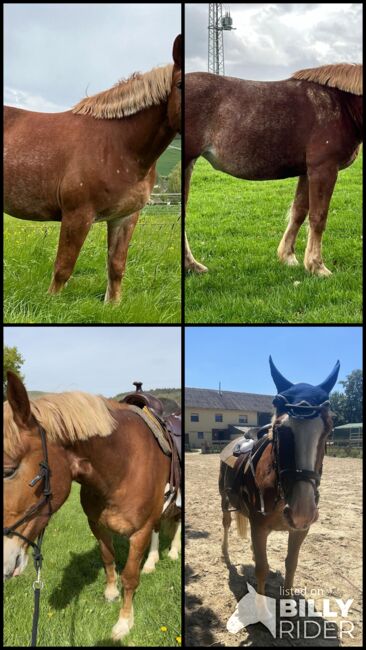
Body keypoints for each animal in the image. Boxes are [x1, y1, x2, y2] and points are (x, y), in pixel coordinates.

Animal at [3, 372, 177, 640]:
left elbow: (130, 576)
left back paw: (173, 552)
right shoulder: (96, 524)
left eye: (9, 471)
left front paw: (124, 622)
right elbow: (107, 558)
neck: (123, 466)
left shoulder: (140, 532)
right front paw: (111, 593)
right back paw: (151, 562)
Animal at [5, 37, 182, 304]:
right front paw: (51, 303)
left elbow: (116, 266)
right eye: (181, 85)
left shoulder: (126, 217)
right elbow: (63, 268)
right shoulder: (77, 215)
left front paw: (113, 304)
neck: (119, 144)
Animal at [186, 64, 364, 278]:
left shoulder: (307, 172)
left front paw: (288, 256)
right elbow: (318, 217)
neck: (342, 105)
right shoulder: (324, 169)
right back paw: (192, 265)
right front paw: (317, 266)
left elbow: (299, 212)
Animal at [219, 356, 338, 596]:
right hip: (224, 499)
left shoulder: (300, 530)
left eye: (329, 429)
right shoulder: (259, 527)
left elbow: (291, 565)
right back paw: (225, 552)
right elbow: (261, 570)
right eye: (279, 429)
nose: (302, 510)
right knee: (226, 522)